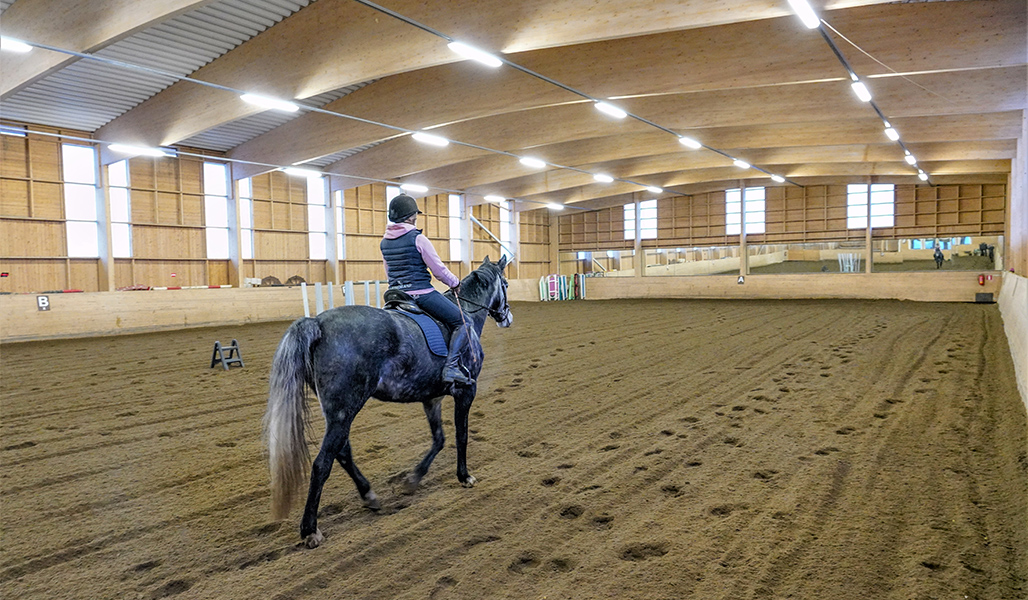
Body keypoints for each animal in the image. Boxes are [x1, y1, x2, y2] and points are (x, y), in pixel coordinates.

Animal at [261, 255, 509, 546]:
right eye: (505, 284)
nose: (506, 317)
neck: (465, 314)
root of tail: (317, 323)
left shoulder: (432, 399)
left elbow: (439, 439)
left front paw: (413, 479)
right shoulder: (466, 391)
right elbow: (462, 435)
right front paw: (464, 476)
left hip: (337, 411)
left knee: (342, 452)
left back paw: (369, 495)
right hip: (345, 409)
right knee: (322, 463)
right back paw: (310, 529)